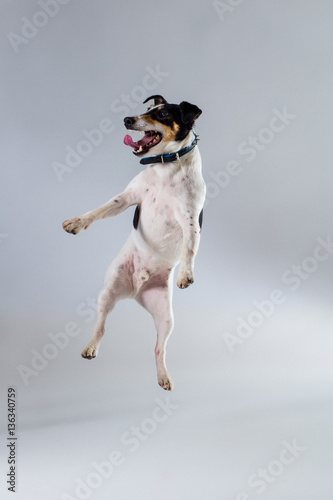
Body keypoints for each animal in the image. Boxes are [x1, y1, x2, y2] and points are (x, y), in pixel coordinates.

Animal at [61, 94, 204, 390]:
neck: (165, 166)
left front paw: (186, 274)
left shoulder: (190, 218)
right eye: (147, 109)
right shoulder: (128, 198)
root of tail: (135, 291)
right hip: (107, 292)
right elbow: (99, 210)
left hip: (166, 318)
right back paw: (91, 347)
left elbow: (190, 247)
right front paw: (77, 222)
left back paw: (163, 376)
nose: (128, 120)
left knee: (159, 349)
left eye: (163, 113)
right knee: (101, 327)